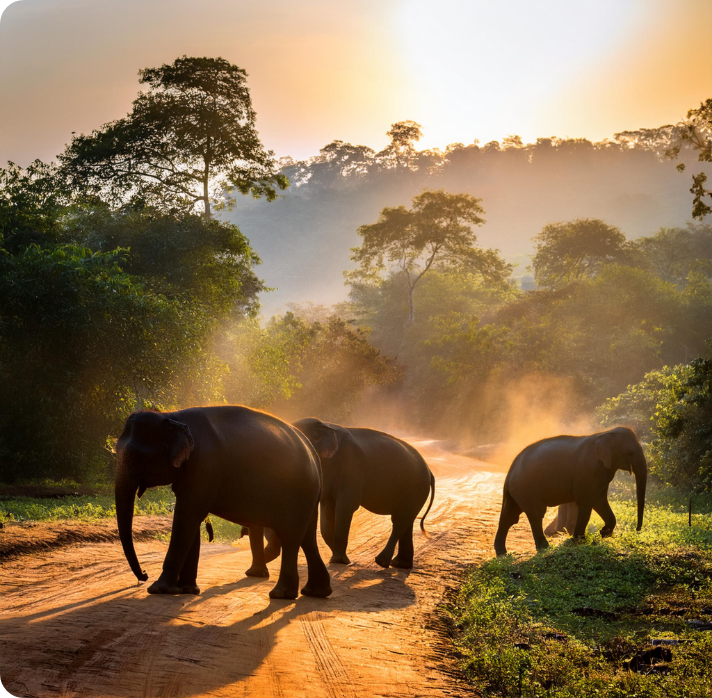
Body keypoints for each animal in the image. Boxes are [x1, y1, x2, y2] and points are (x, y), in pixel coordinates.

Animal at [113, 406, 330, 596]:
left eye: (139, 456)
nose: (144, 575)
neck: (173, 416)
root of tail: (313, 453)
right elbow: (191, 519)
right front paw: (187, 590)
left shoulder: (204, 465)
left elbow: (187, 516)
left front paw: (159, 589)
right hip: (308, 495)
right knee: (307, 537)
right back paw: (316, 592)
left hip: (298, 491)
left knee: (291, 536)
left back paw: (280, 594)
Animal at [290, 416, 434, 568]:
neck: (324, 424)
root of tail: (430, 472)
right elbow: (327, 509)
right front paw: (338, 559)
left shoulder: (353, 466)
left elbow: (345, 507)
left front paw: (340, 561)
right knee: (406, 521)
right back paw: (401, 564)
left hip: (417, 488)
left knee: (401, 520)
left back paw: (382, 562)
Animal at [492, 424, 648, 556]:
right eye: (630, 453)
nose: (637, 530)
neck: (606, 433)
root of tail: (510, 470)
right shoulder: (588, 470)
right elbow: (586, 502)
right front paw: (580, 541)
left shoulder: (603, 472)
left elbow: (599, 500)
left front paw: (604, 534)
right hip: (526, 488)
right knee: (536, 513)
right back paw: (544, 547)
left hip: (516, 490)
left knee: (509, 515)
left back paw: (502, 553)